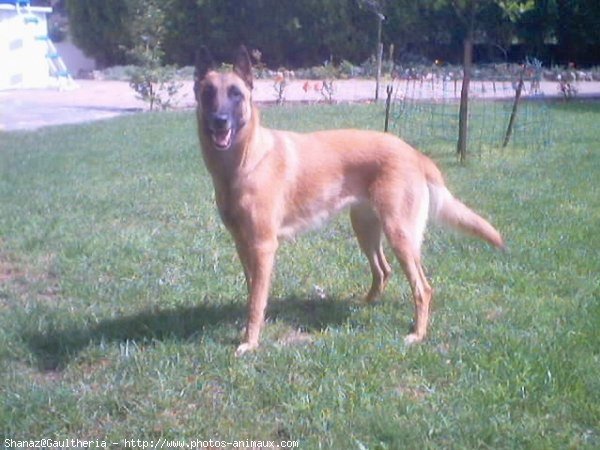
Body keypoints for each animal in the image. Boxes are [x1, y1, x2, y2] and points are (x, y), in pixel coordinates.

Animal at [192, 46, 502, 356]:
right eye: (208, 93)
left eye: (236, 94)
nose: (220, 120)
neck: (242, 164)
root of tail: (414, 153)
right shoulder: (243, 244)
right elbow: (253, 292)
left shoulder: (263, 246)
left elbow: (256, 301)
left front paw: (251, 341)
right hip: (365, 229)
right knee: (383, 270)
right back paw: (364, 304)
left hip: (399, 234)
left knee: (422, 288)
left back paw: (418, 334)